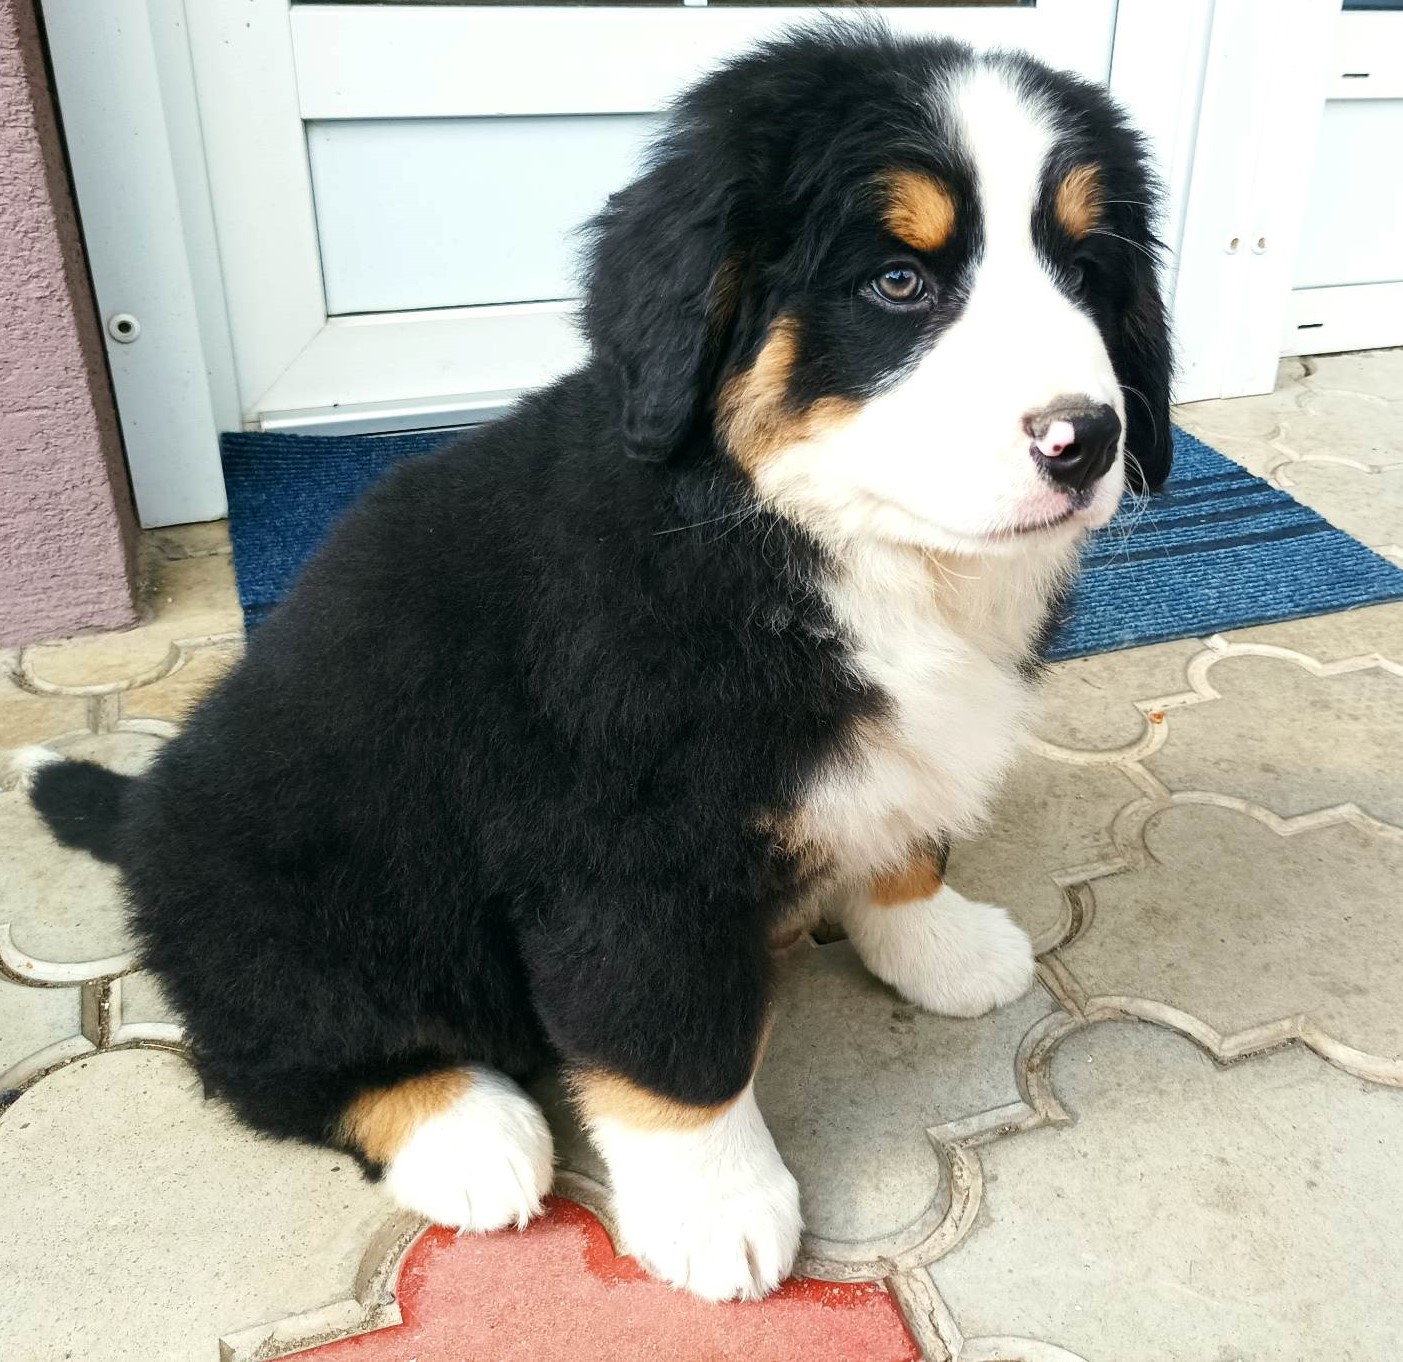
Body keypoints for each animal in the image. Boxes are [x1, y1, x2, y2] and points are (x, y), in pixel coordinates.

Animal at [26, 23, 1170, 1303]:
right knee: (277, 1053)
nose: (1084, 440)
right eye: (898, 282)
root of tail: (143, 816)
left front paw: (936, 938)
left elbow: (903, 838)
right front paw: (718, 1211)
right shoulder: (627, 860)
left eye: (1085, 272)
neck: (806, 538)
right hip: (302, 898)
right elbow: (674, 1052)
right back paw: (466, 1133)